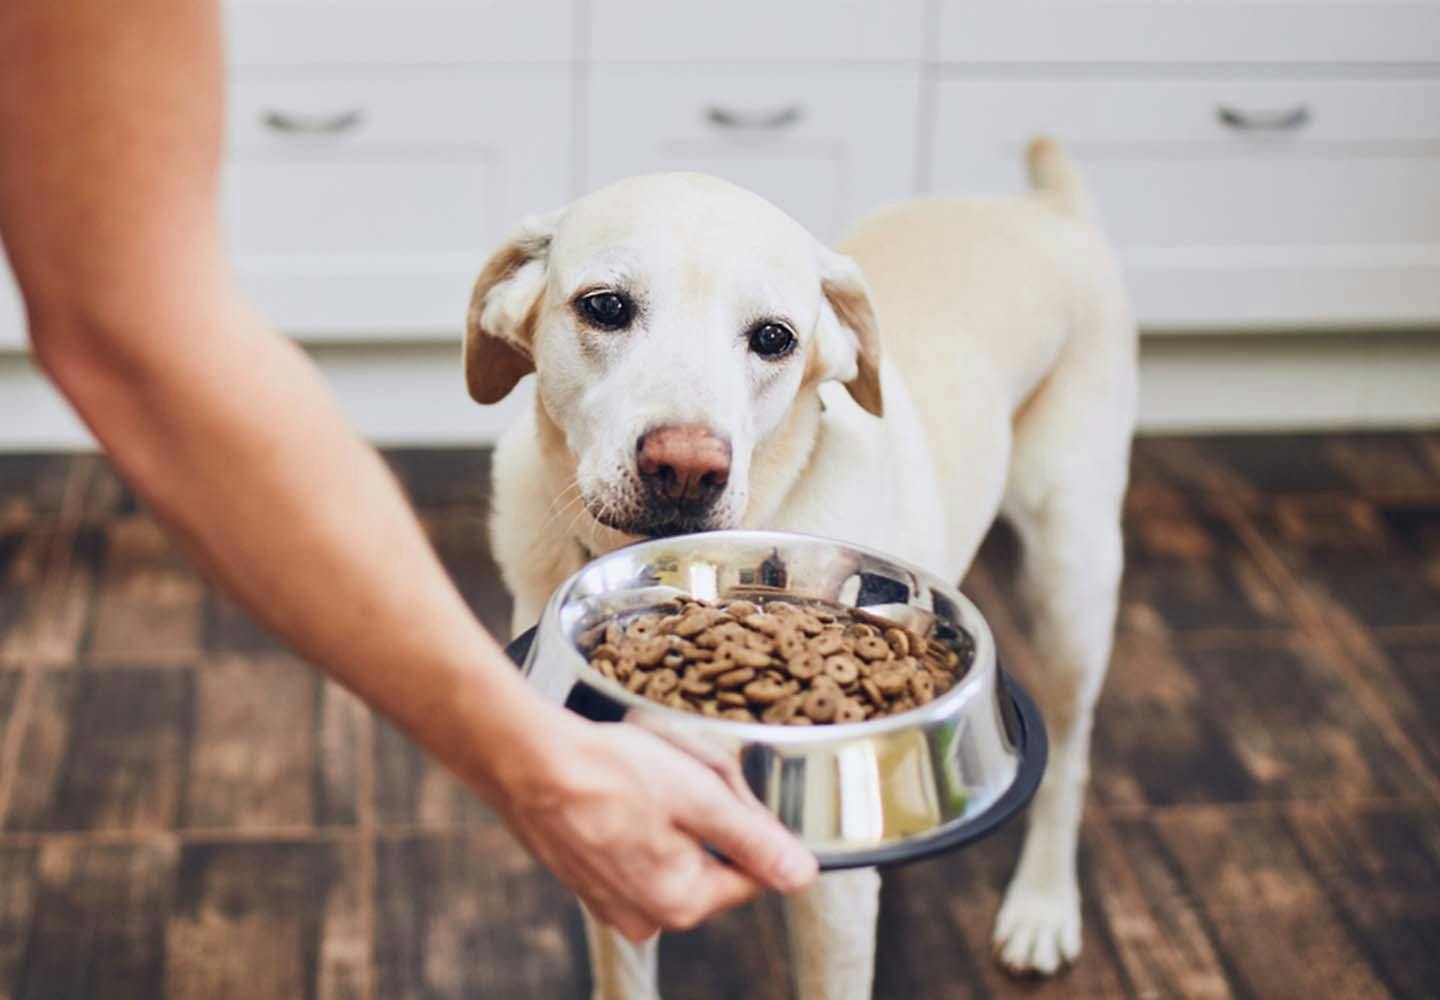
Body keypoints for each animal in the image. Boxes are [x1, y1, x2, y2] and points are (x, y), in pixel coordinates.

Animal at [463, 136, 1134, 997]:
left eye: (774, 337)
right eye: (605, 307)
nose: (686, 468)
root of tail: (1046, 207)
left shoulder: (834, 902)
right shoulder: (614, 845)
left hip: (1071, 578)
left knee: (1073, 757)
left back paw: (1043, 907)